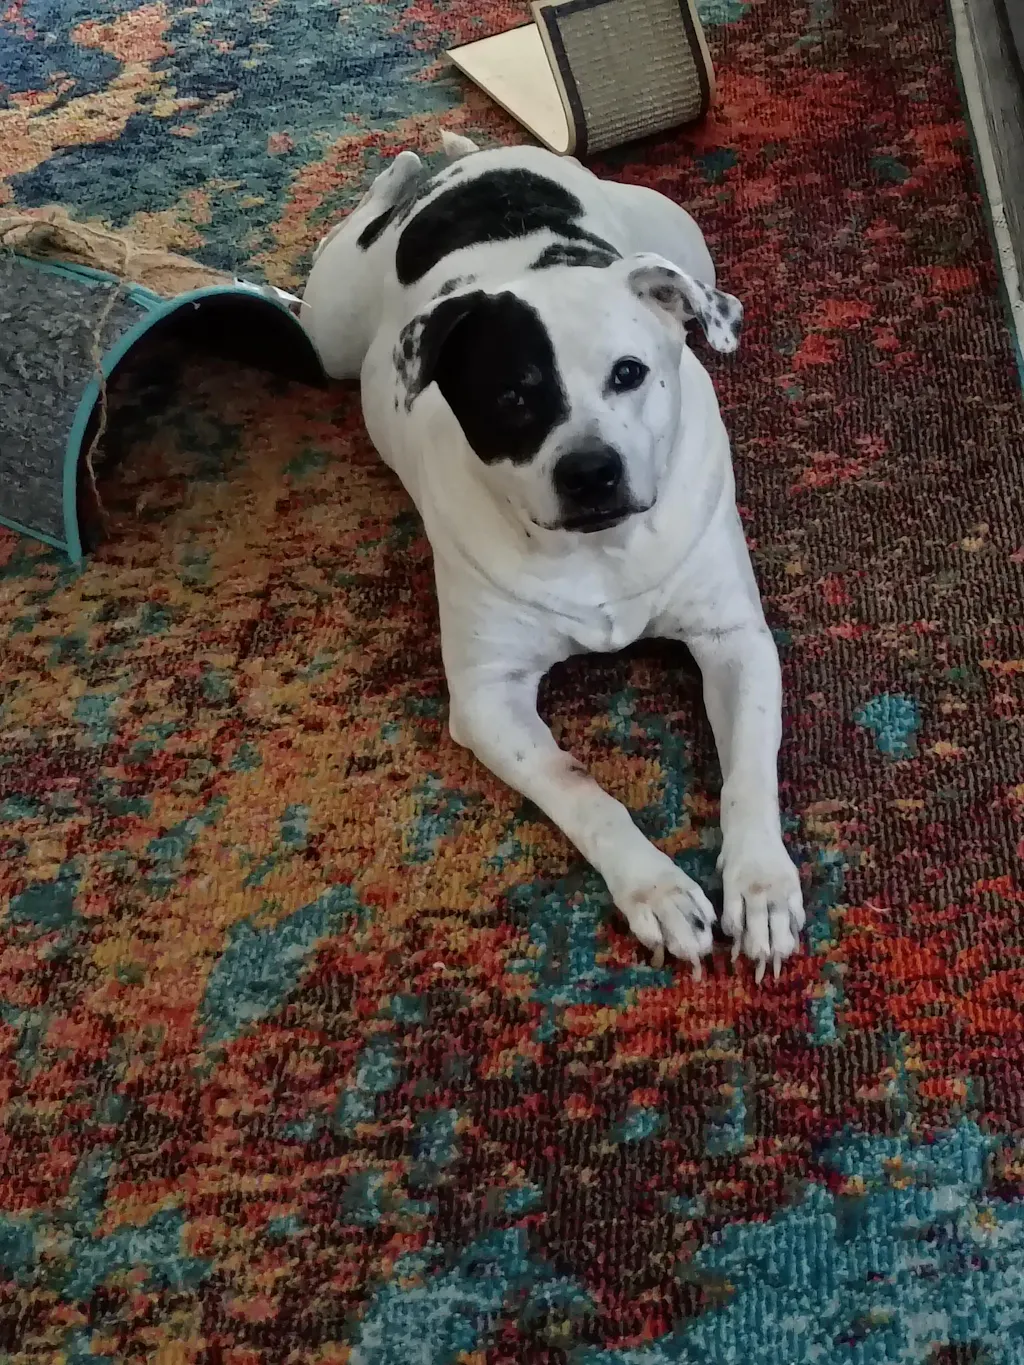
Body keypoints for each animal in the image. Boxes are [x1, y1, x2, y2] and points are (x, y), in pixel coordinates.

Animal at [300, 133, 804, 981]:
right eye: (513, 397)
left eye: (629, 372)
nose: (590, 470)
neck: (600, 549)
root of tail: (479, 160)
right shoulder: (488, 698)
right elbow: (580, 786)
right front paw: (655, 889)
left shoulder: (734, 640)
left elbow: (749, 771)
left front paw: (762, 882)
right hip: (328, 328)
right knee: (370, 213)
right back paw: (401, 170)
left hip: (682, 237)